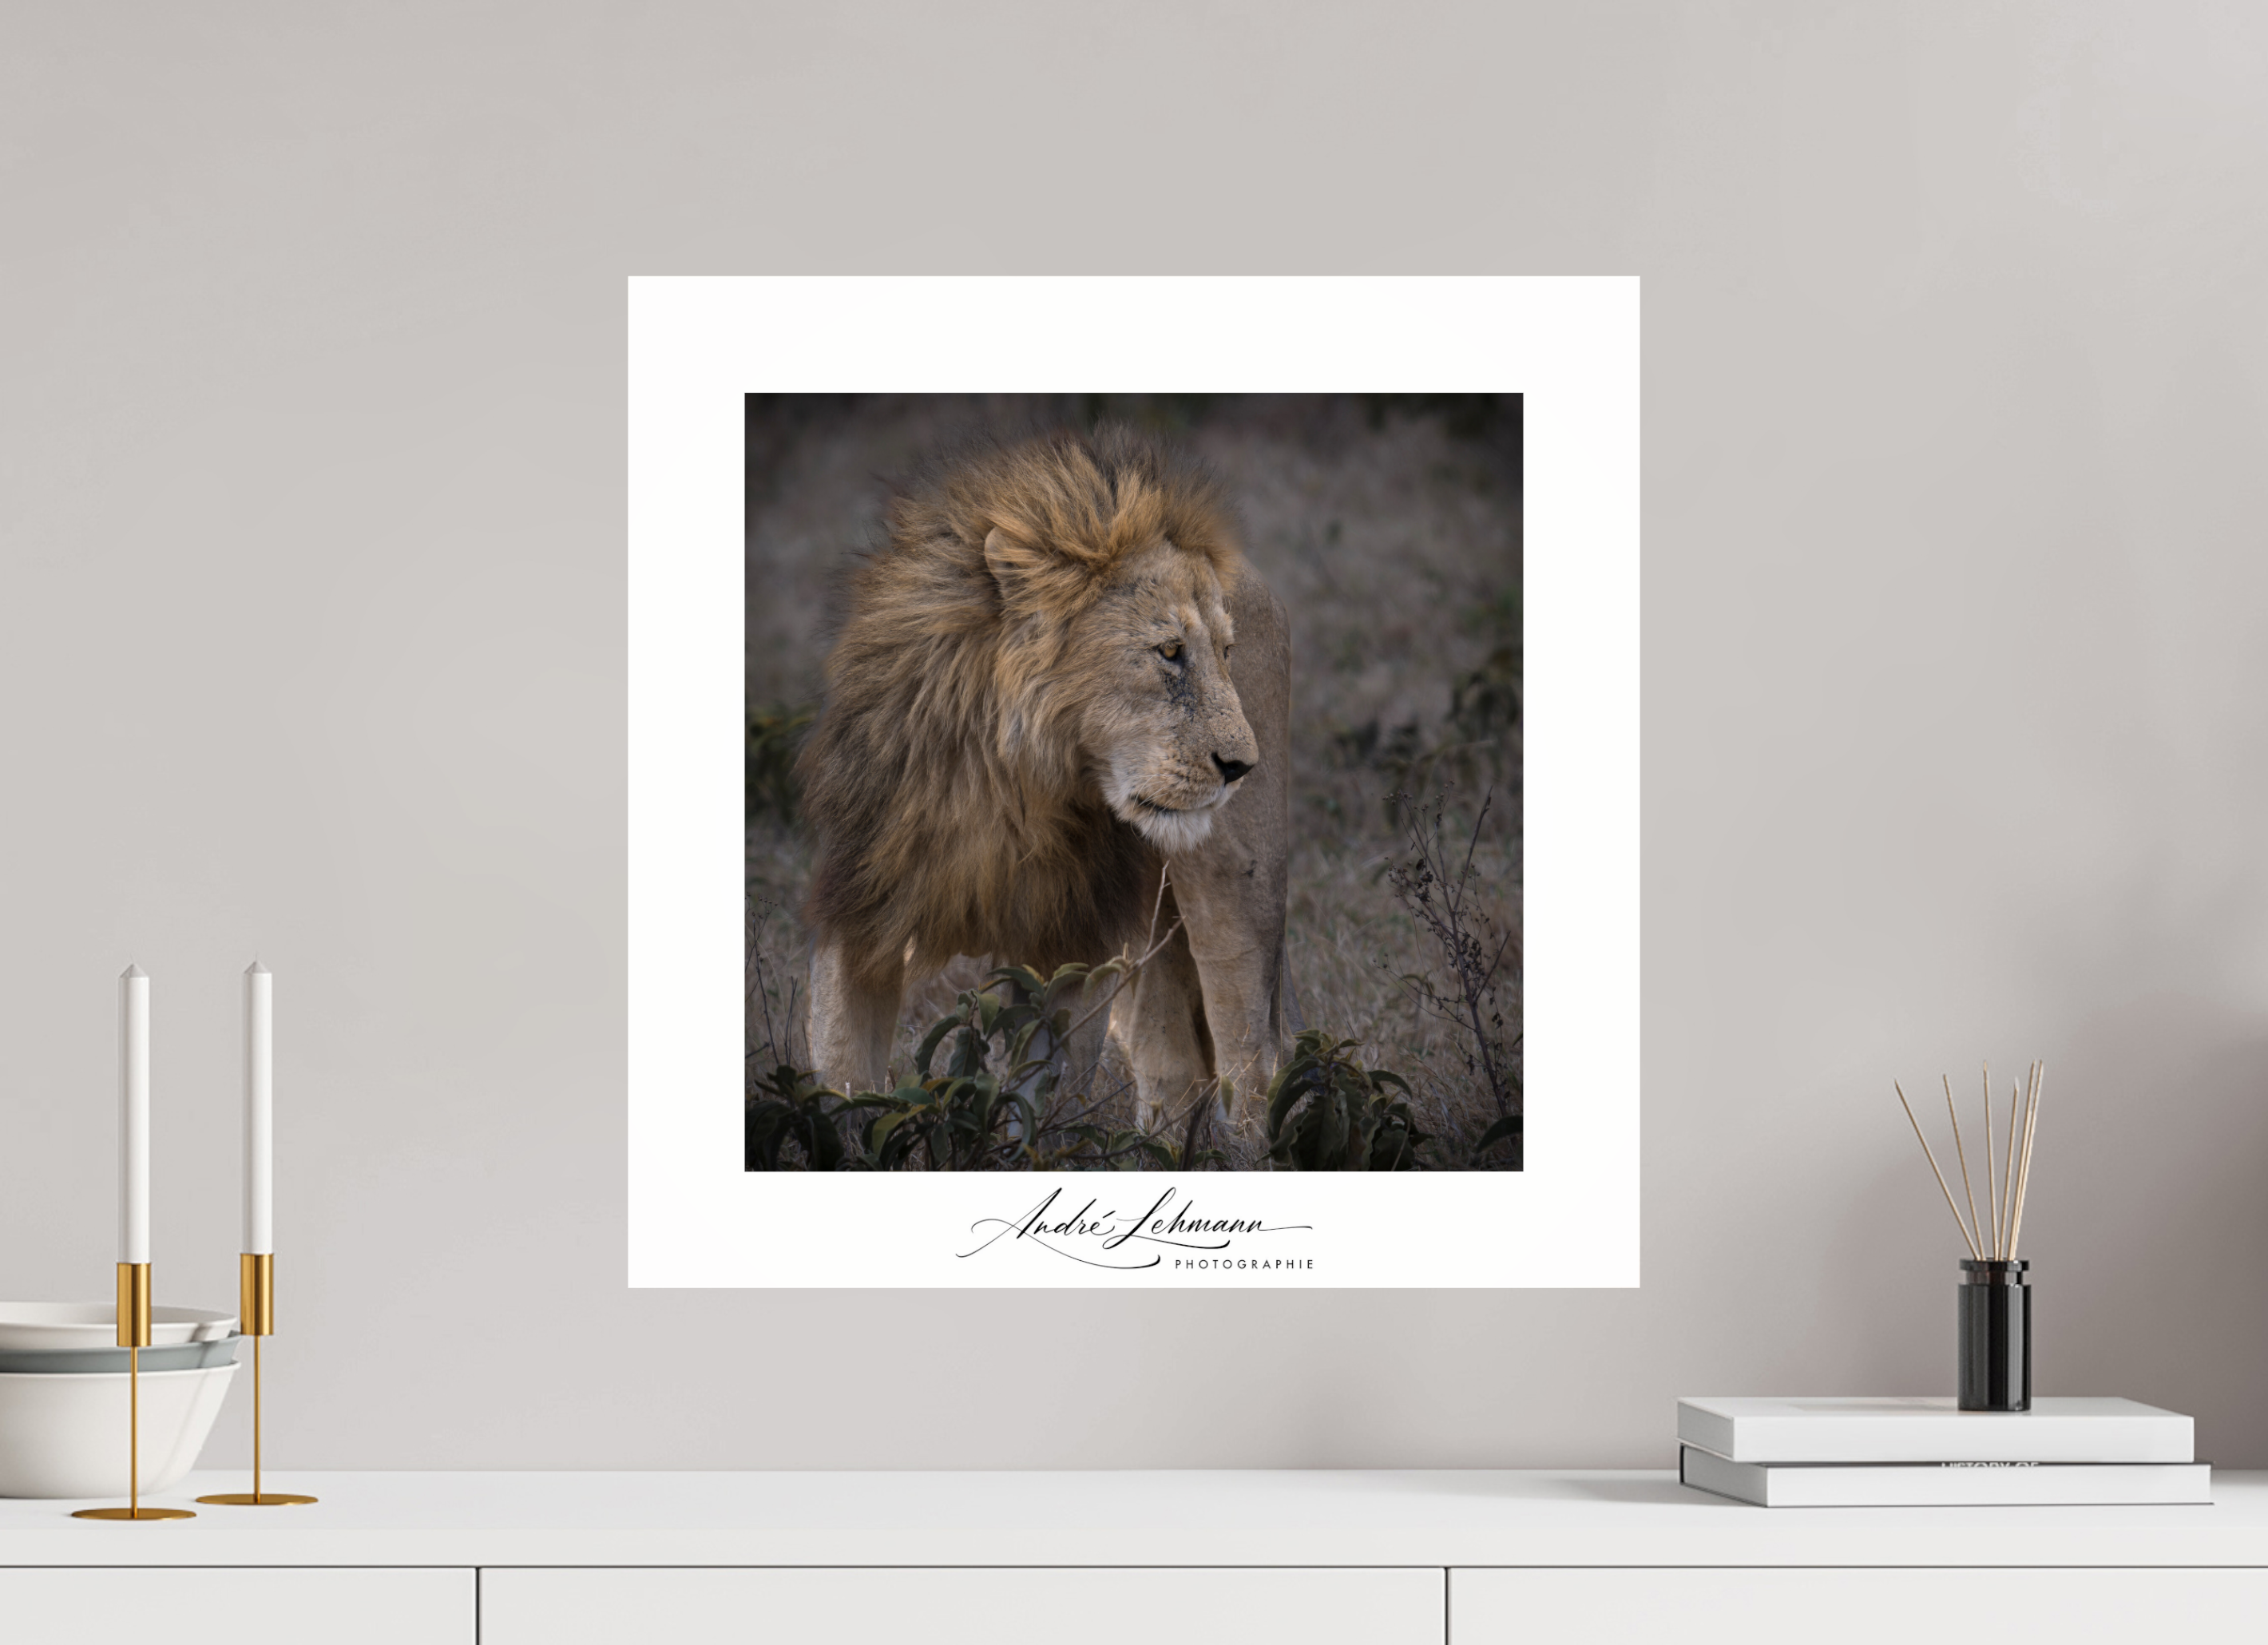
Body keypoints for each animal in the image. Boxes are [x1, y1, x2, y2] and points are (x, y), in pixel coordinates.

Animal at [798, 425, 1291, 1137]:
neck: (1005, 786)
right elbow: (843, 1083)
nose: (1241, 767)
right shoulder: (862, 906)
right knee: (1174, 1066)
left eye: (1226, 654)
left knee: (1250, 1062)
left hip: (1236, 886)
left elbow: (1033, 1101)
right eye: (1170, 653)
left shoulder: (1072, 939)